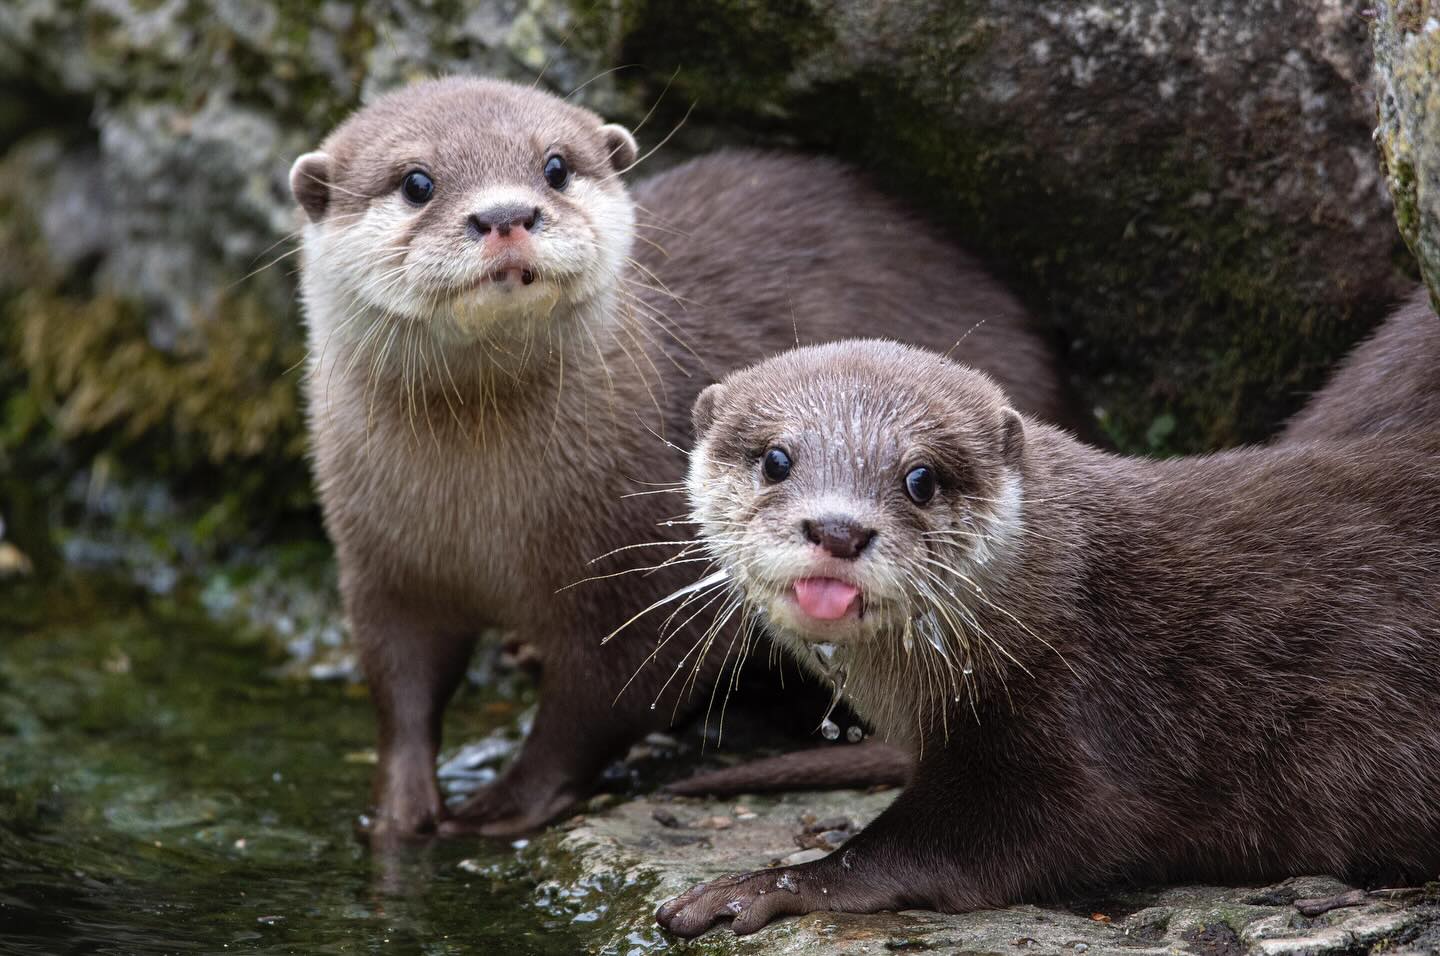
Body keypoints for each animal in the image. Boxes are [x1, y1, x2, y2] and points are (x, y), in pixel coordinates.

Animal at [289, 77, 1070, 838]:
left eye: (555, 166)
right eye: (416, 181)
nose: (506, 214)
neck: (479, 516)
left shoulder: (646, 566)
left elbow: (605, 698)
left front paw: (503, 804)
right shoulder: (380, 562)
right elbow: (399, 684)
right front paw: (398, 810)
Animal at [657, 339, 1440, 938]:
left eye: (920, 478)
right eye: (776, 460)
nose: (839, 529)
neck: (1065, 601)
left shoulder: (1084, 719)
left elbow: (995, 841)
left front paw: (763, 884)